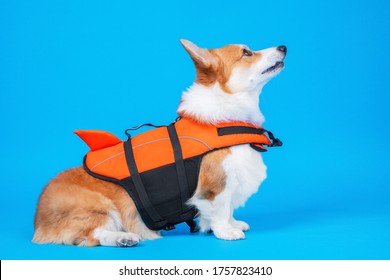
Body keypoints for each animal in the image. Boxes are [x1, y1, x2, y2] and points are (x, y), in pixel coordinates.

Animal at [32, 40, 286, 247]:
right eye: (246, 52)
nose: (283, 47)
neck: (228, 114)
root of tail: (38, 223)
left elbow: (229, 209)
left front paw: (235, 223)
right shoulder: (217, 186)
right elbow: (221, 209)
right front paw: (227, 231)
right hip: (100, 207)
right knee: (93, 236)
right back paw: (124, 238)